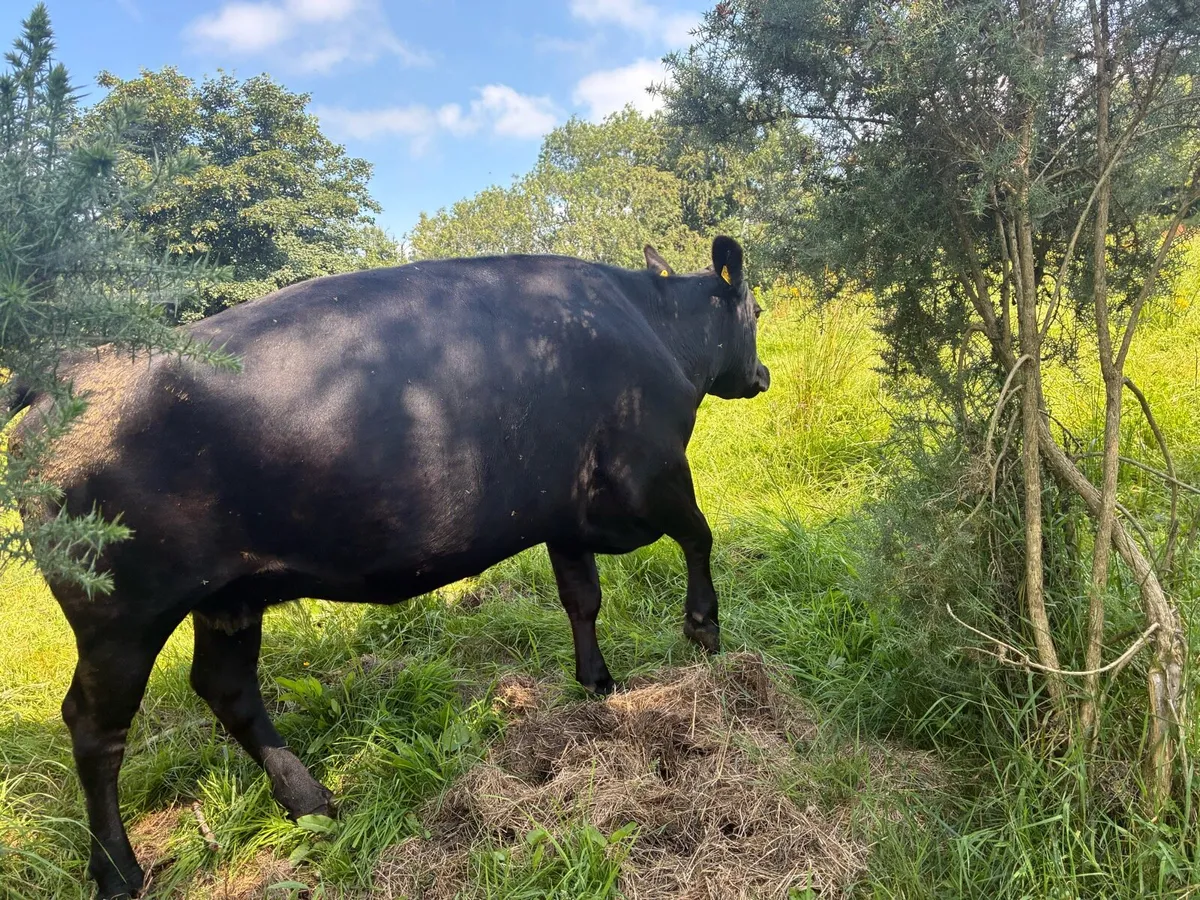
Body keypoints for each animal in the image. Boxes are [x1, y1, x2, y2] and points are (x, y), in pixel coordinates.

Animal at [8, 236, 769, 899]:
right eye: (757, 312)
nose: (761, 374)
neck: (652, 324)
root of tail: (72, 366)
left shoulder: (565, 515)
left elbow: (582, 598)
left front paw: (598, 685)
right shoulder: (655, 475)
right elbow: (700, 537)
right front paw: (703, 630)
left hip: (225, 595)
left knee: (226, 688)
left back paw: (309, 800)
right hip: (121, 616)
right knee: (95, 729)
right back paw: (117, 870)